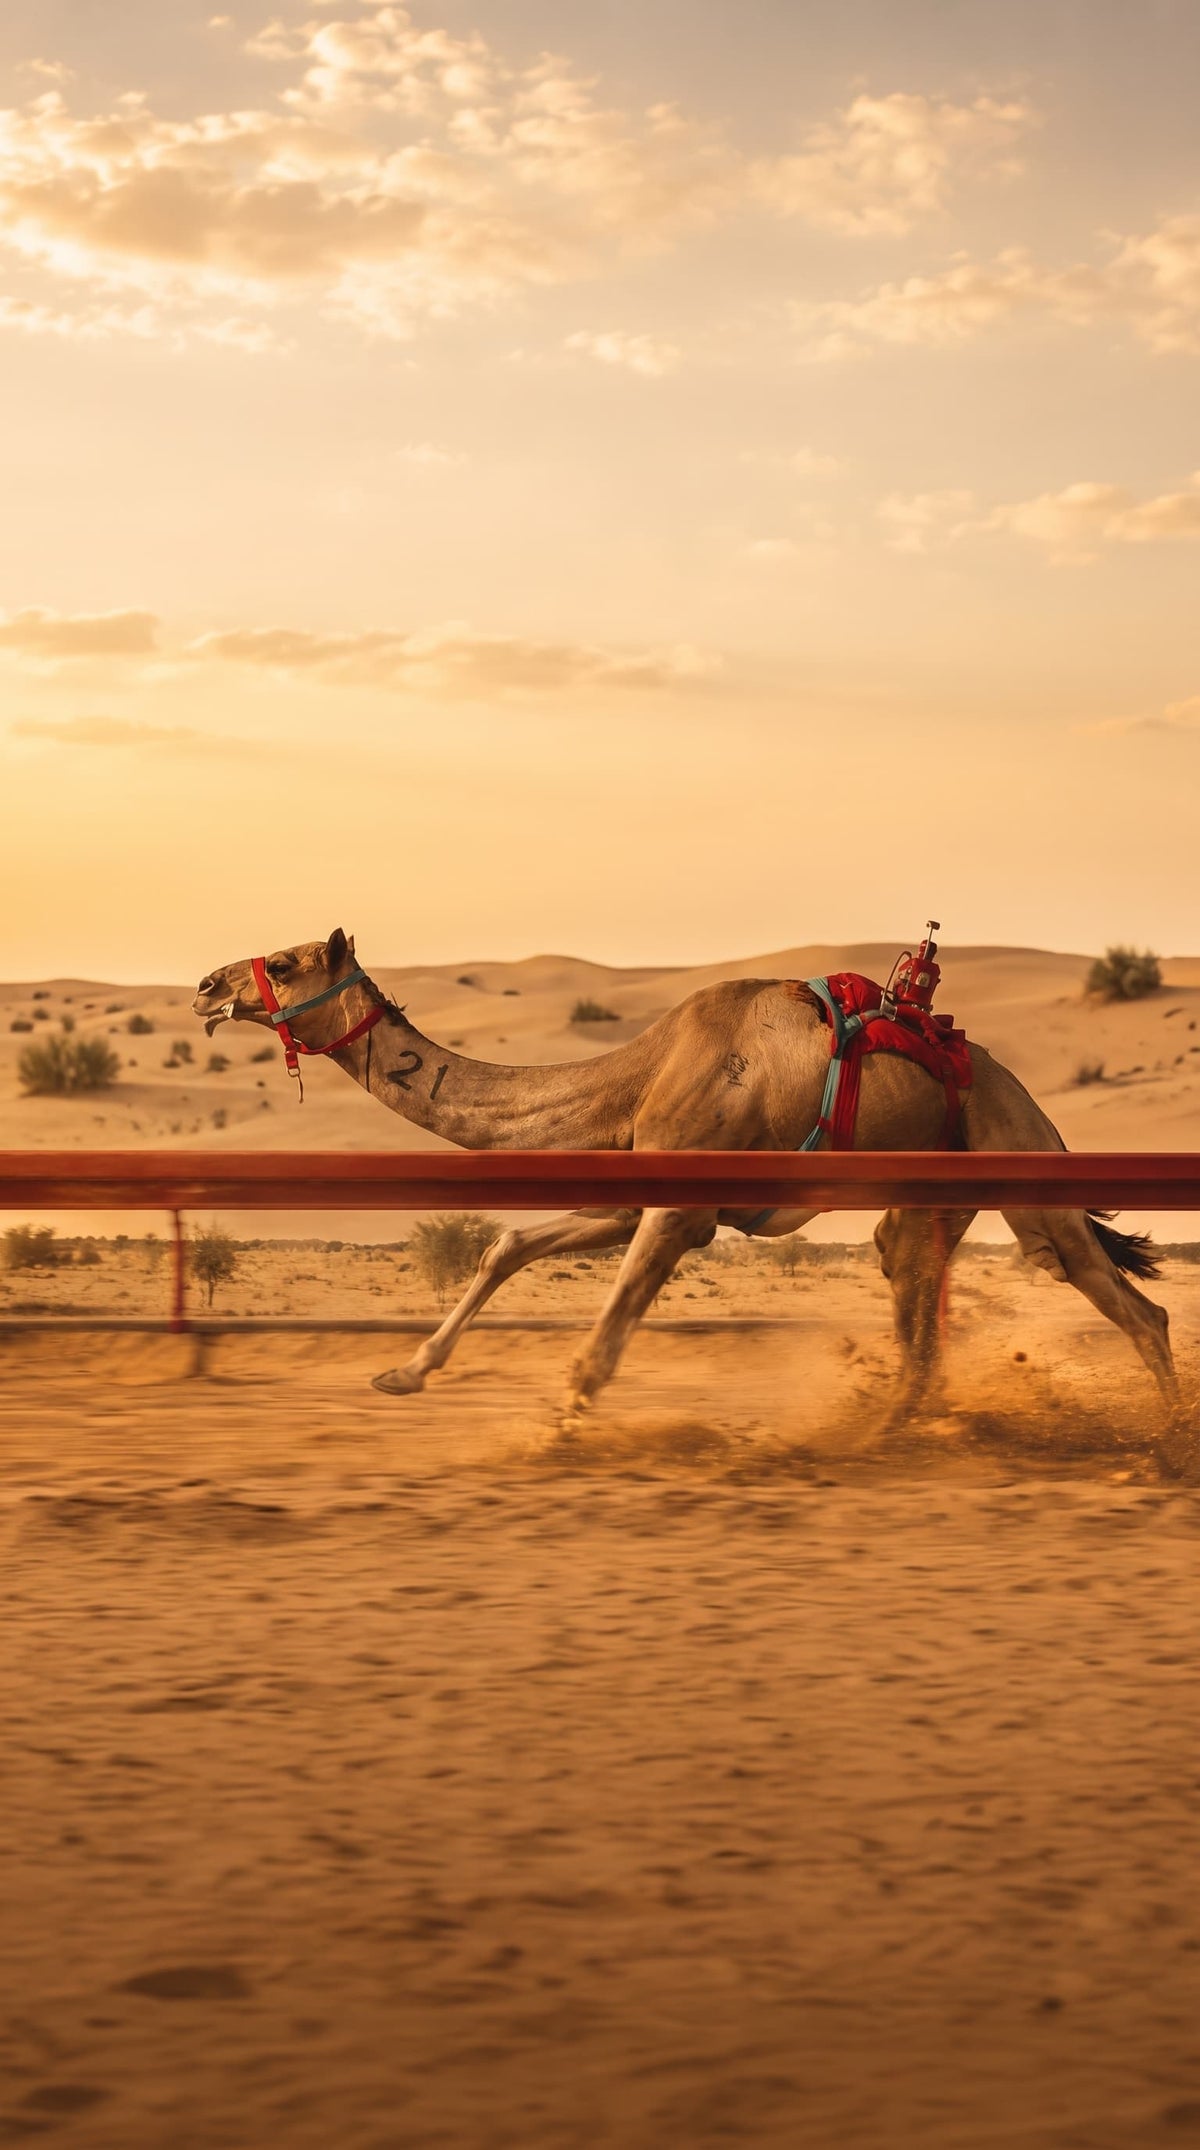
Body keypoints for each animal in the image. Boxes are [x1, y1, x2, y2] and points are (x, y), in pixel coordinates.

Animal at [192, 931, 1187, 1458]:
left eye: (288, 961)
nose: (206, 985)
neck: (637, 1073)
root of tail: (1020, 1092)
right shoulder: (636, 1193)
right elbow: (506, 1246)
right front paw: (403, 1372)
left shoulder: (679, 1209)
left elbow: (596, 1348)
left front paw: (549, 1440)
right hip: (930, 1197)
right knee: (916, 1310)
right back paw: (875, 1437)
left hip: (1020, 1163)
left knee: (1129, 1304)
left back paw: (1170, 1443)